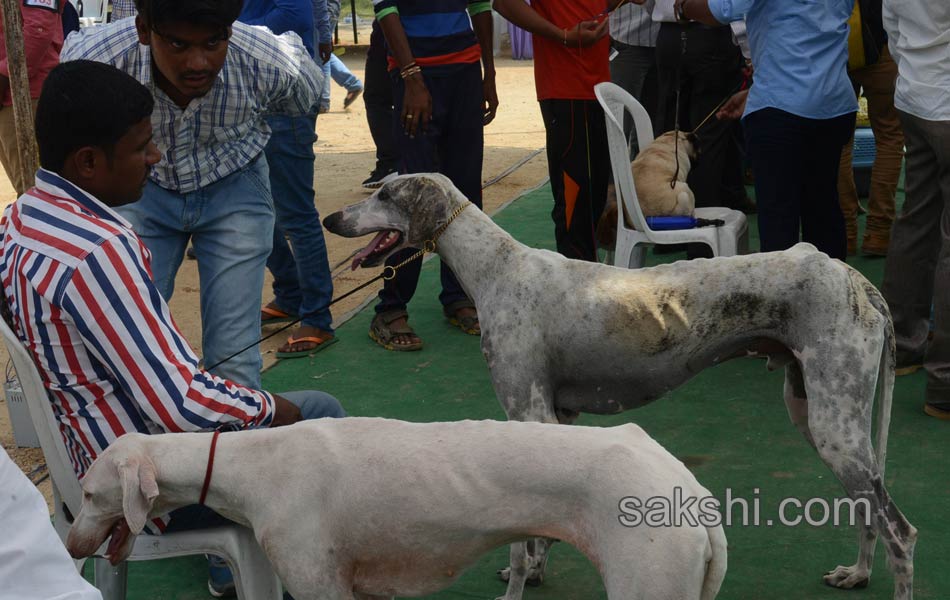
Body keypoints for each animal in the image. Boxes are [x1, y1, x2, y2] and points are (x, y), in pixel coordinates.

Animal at [324, 172, 920, 600]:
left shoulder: (527, 412)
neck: (498, 268)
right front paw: (534, 571)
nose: (330, 217)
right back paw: (856, 574)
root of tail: (852, 276)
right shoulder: (556, 418)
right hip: (819, 417)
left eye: (385, 193)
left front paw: (523, 575)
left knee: (902, 532)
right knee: (869, 511)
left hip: (835, 427)